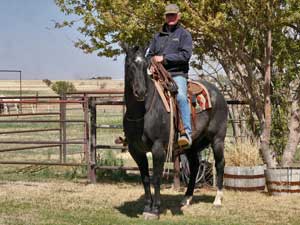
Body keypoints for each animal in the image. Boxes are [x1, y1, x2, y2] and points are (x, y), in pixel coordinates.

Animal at [123, 45, 229, 220]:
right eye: (129, 64)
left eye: (145, 65)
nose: (141, 91)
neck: (142, 111)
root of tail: (218, 93)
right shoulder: (135, 150)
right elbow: (145, 178)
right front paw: (147, 207)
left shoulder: (158, 148)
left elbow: (156, 178)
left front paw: (155, 209)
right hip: (193, 144)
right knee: (194, 166)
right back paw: (187, 198)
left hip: (218, 139)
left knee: (220, 164)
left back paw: (218, 200)